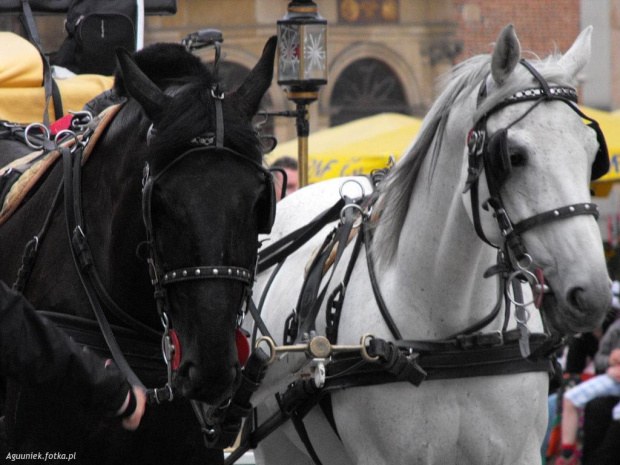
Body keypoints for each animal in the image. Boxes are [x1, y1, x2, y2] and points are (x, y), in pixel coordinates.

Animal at [246, 24, 612, 464]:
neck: (452, 335)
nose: (591, 293)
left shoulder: (521, 452)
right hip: (275, 445)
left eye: (594, 154)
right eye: (513, 155)